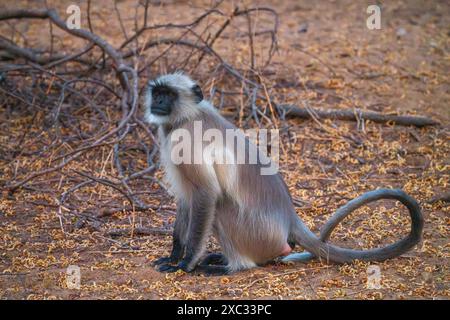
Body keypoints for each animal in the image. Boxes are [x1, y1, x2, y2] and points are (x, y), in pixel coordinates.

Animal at [142, 72, 424, 276]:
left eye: (168, 95)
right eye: (157, 93)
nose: (158, 102)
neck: (188, 115)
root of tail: (289, 217)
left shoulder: (184, 139)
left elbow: (206, 193)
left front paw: (185, 264)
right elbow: (185, 198)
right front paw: (175, 255)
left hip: (256, 232)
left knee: (220, 204)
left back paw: (232, 266)